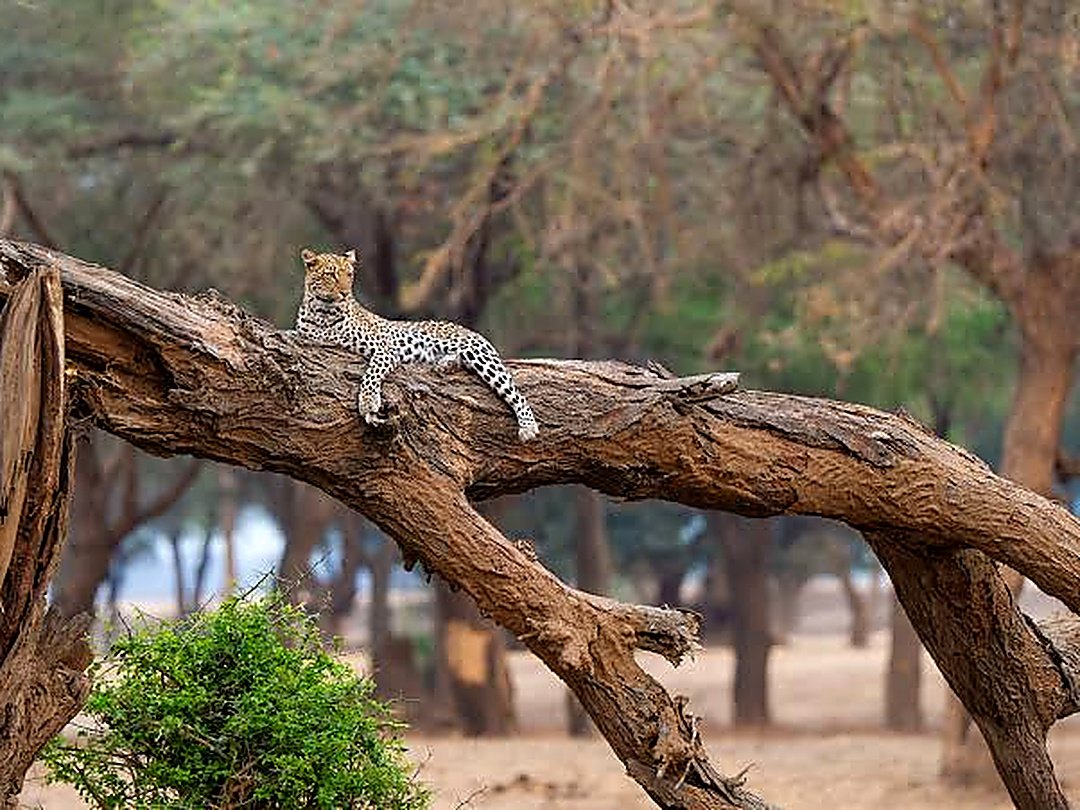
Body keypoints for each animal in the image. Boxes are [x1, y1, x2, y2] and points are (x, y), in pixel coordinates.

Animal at [296, 247, 539, 441]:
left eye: (350, 275)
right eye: (330, 275)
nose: (345, 293)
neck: (323, 313)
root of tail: (470, 330)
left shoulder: (385, 349)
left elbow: (371, 374)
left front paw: (368, 402)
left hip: (479, 355)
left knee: (515, 392)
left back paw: (528, 427)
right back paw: (445, 364)